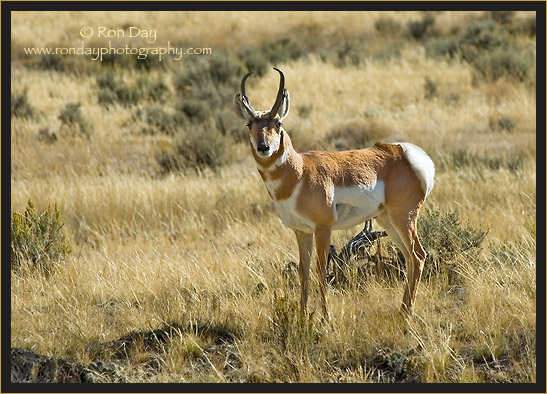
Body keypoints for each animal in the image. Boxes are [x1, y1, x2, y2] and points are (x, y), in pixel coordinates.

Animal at [235, 67, 436, 318]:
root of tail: (406, 153)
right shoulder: (301, 232)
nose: (264, 148)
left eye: (278, 122)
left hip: (403, 219)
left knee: (418, 256)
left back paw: (406, 313)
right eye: (249, 124)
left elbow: (321, 269)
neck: (300, 171)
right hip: (387, 221)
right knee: (409, 257)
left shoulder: (323, 229)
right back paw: (402, 310)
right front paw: (302, 316)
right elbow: (303, 270)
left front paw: (325, 318)